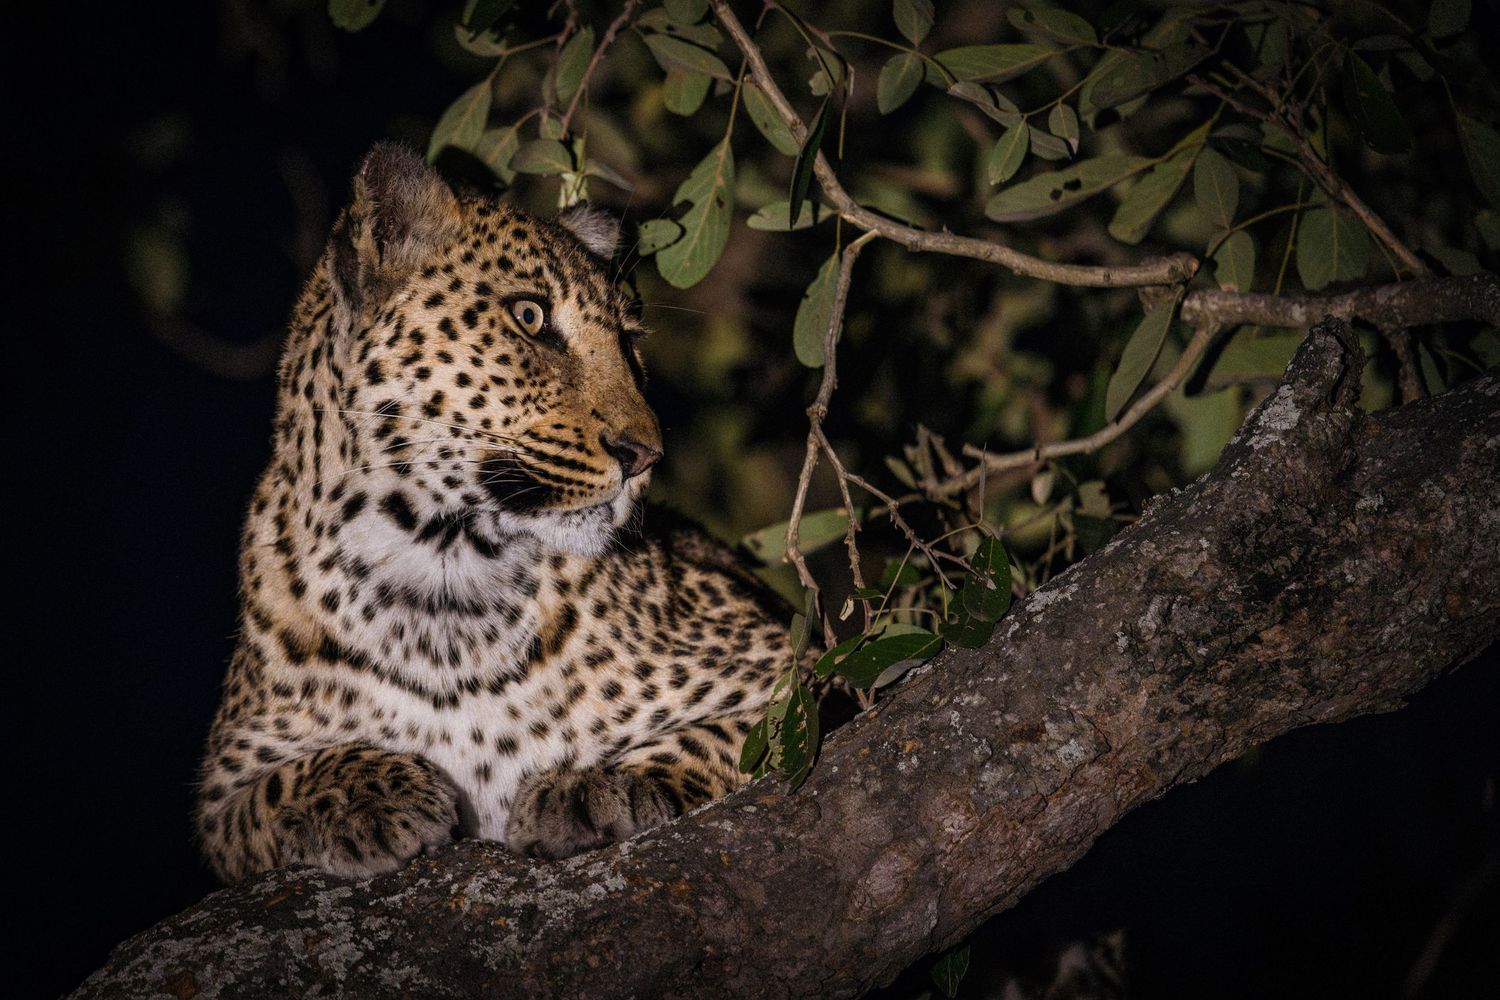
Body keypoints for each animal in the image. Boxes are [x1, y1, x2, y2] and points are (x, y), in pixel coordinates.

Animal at [194, 142, 790, 881]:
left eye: (630, 343)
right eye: (530, 317)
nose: (645, 454)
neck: (440, 569)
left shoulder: (788, 662)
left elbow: (726, 738)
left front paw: (598, 785)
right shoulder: (224, 791)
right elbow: (276, 788)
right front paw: (367, 796)